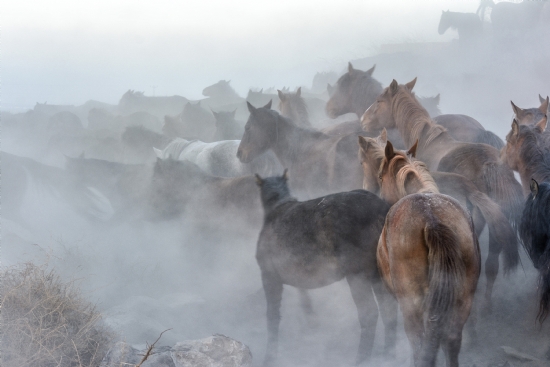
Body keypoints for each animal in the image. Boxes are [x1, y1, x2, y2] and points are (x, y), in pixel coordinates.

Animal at [252, 172, 398, 367]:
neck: (275, 211)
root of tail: (381, 210)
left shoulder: (269, 276)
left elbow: (273, 317)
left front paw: (270, 356)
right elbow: (303, 300)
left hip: (357, 275)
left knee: (369, 313)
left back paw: (362, 358)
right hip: (377, 275)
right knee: (389, 312)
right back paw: (387, 354)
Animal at [378, 142, 480, 366]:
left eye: (380, 176)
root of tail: (432, 219)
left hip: (412, 304)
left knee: (419, 344)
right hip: (462, 299)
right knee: (451, 339)